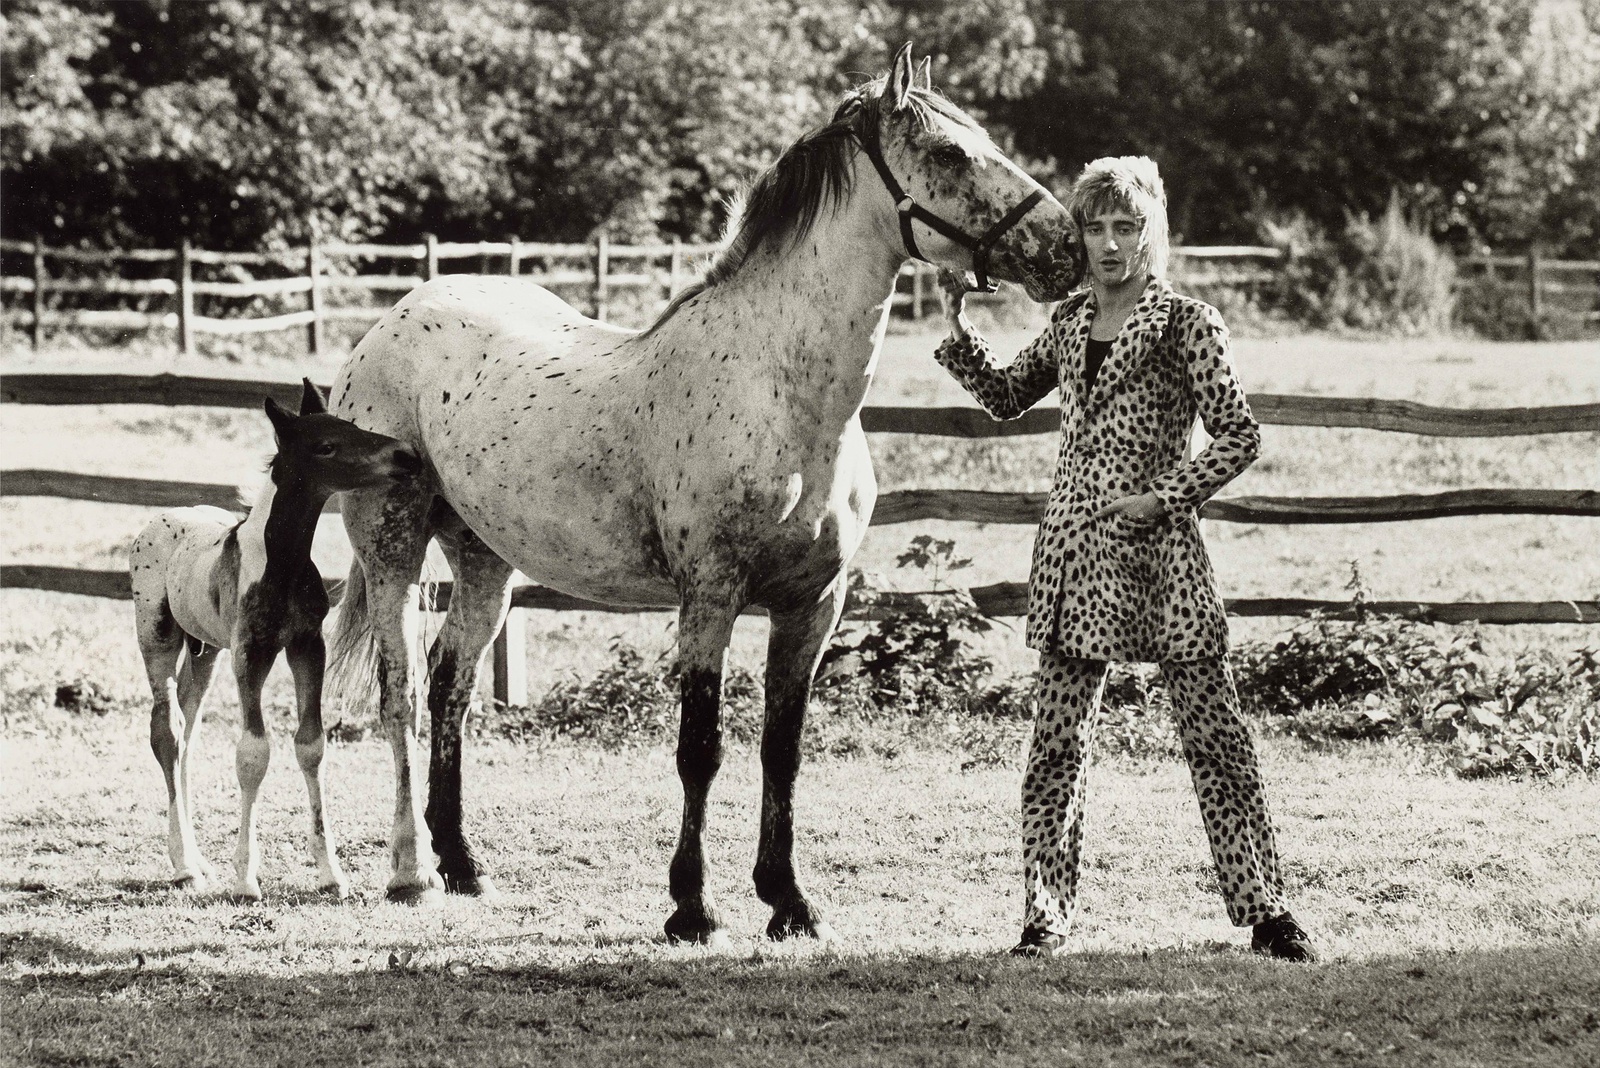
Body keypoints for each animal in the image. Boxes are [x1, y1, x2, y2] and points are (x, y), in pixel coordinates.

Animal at [130, 380, 419, 899]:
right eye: (326, 446)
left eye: (352, 426)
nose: (406, 456)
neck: (279, 563)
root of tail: (159, 520)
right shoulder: (251, 653)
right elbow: (253, 752)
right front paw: (245, 878)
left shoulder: (307, 646)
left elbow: (311, 745)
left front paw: (331, 874)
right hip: (158, 639)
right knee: (167, 732)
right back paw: (184, 866)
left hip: (206, 652)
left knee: (188, 731)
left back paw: (197, 861)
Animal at [327, 45, 1082, 942]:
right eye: (950, 153)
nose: (1067, 246)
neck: (784, 395)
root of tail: (391, 322)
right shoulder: (710, 597)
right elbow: (701, 747)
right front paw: (692, 905)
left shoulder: (812, 605)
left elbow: (781, 749)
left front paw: (788, 900)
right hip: (393, 549)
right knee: (402, 693)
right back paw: (411, 874)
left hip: (484, 561)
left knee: (452, 688)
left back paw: (463, 863)